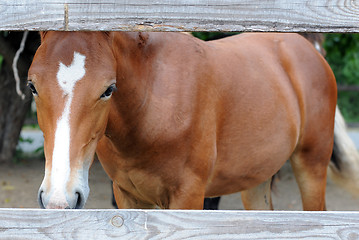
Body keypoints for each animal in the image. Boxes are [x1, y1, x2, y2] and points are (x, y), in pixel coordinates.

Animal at [28, 31, 338, 210]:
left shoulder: (188, 197)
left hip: (311, 166)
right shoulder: (128, 196)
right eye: (32, 86)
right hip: (256, 177)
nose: (59, 198)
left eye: (108, 89)